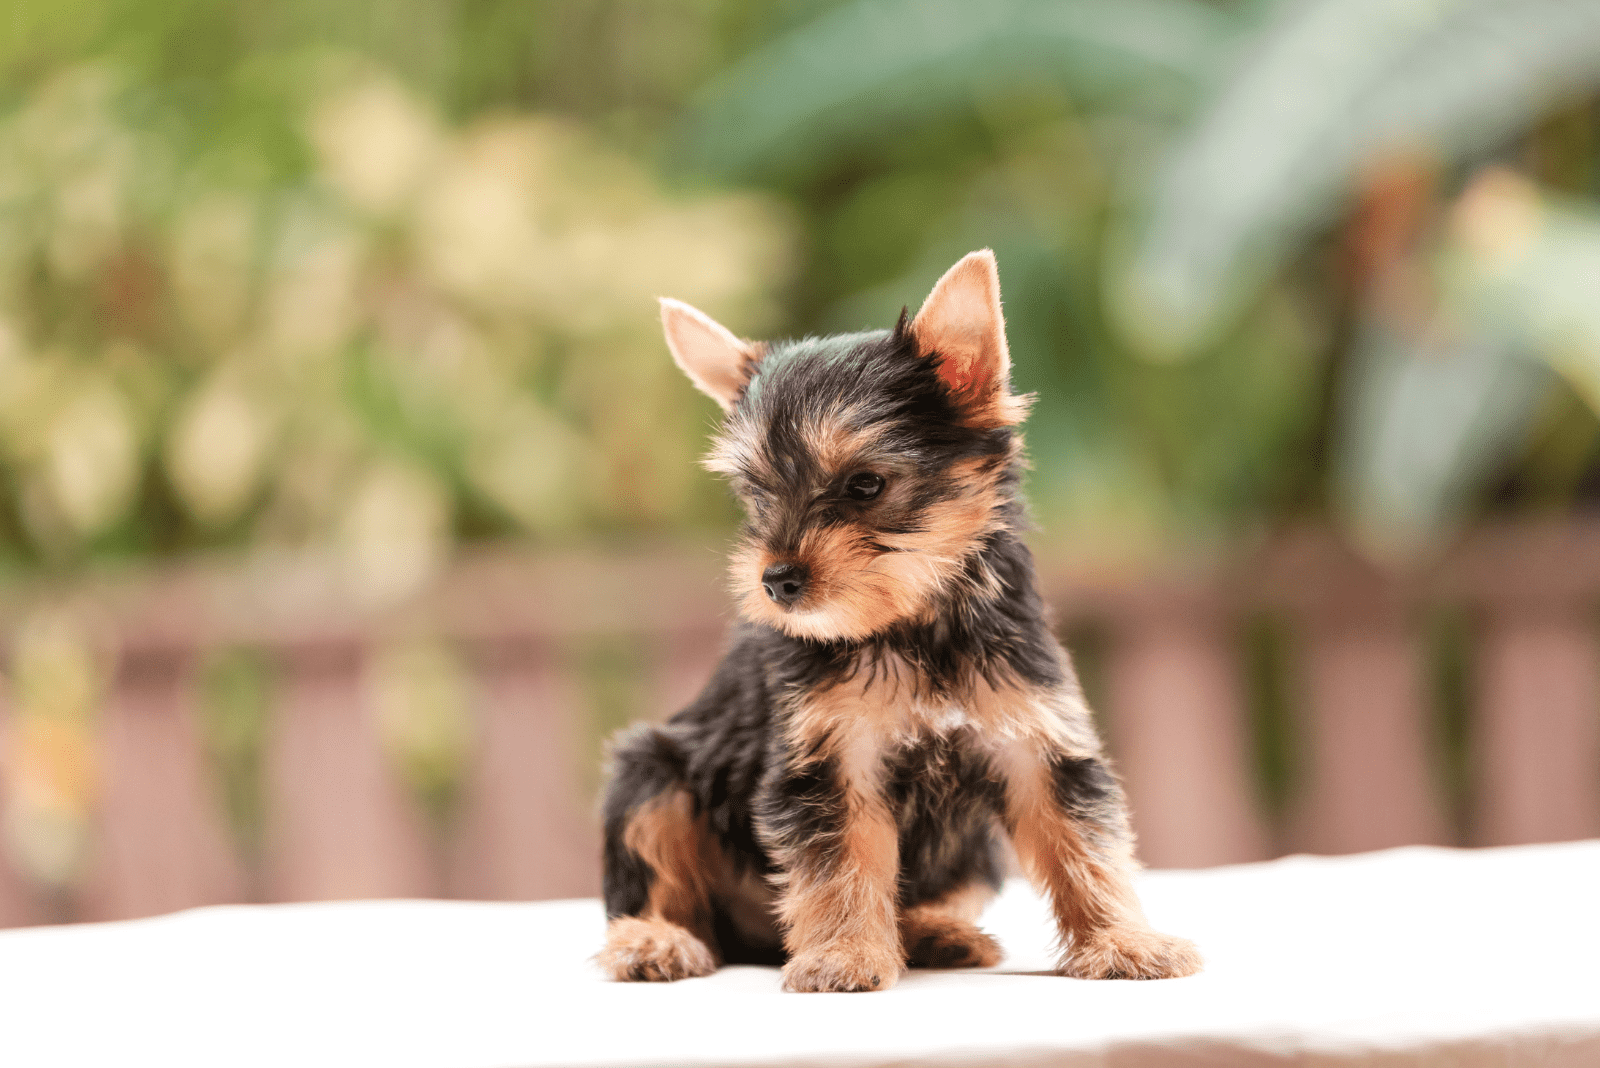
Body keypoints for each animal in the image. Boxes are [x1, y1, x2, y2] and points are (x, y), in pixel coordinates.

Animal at [601, 251, 1203, 991]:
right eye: (758, 493)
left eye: (865, 485)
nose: (776, 580)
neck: (914, 622)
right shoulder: (832, 758)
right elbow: (843, 862)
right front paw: (843, 954)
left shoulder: (1037, 738)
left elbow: (1082, 843)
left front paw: (1123, 940)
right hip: (653, 771)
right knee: (658, 857)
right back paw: (654, 939)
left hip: (974, 852)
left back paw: (934, 932)